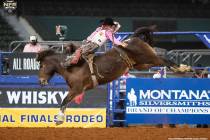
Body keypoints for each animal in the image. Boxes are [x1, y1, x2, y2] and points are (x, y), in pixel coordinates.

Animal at [36, 25, 192, 124]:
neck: (71, 67)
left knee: (165, 60)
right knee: (162, 63)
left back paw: (184, 69)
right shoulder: (76, 91)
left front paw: (58, 119)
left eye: (42, 65)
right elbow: (65, 101)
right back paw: (185, 69)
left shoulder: (77, 89)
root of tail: (133, 38)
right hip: (142, 64)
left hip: (151, 58)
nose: (41, 81)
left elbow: (64, 101)